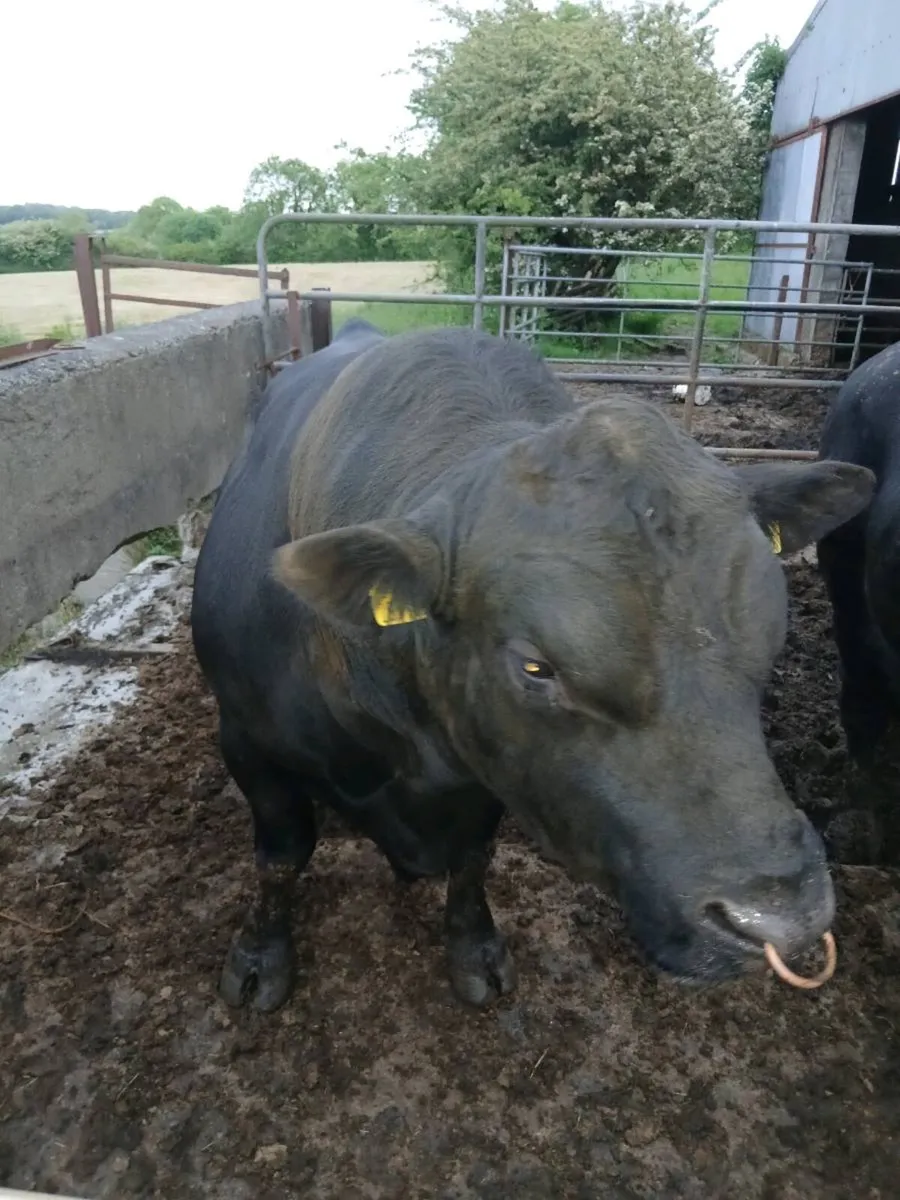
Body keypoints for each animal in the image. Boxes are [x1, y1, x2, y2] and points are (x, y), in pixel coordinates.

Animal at [190, 319, 874, 1013]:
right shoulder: (247, 741)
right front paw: (260, 956)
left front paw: (476, 950)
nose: (781, 918)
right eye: (536, 668)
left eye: (770, 632)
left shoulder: (492, 766)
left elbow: (471, 860)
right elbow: (282, 855)